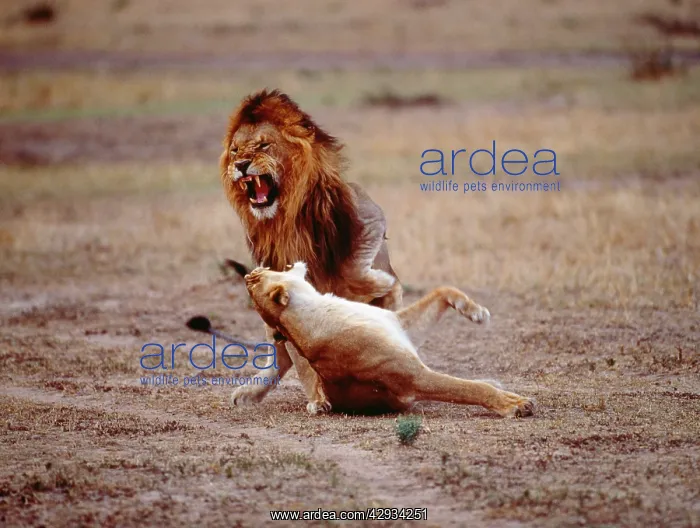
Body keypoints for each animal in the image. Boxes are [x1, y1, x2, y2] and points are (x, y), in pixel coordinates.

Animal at [220, 89, 403, 406]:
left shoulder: (371, 217)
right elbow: (302, 359)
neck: (289, 221)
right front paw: (319, 398)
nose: (241, 164)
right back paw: (251, 391)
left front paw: (377, 282)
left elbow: (358, 269)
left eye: (263, 145)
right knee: (281, 356)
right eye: (235, 150)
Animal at [244, 263, 535, 417]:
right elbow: (471, 389)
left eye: (256, 278)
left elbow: (443, 291)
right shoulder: (412, 379)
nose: (248, 274)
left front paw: (476, 312)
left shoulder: (400, 323)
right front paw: (515, 405)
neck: (319, 306)